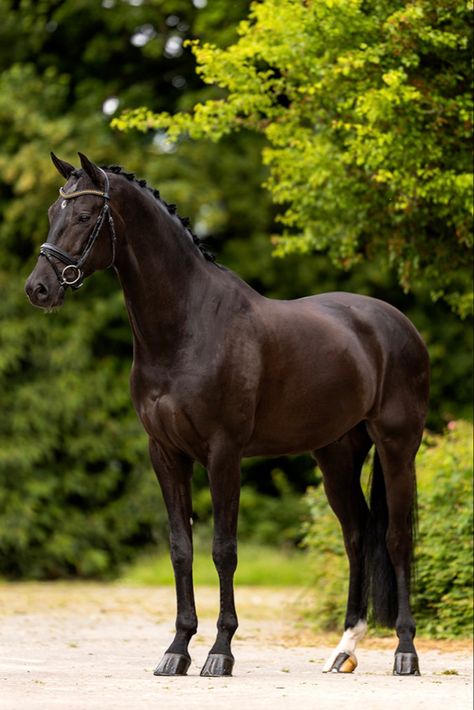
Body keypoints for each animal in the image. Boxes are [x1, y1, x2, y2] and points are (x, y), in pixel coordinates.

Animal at [25, 154, 430, 680]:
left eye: (84, 215)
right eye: (53, 211)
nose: (38, 288)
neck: (188, 328)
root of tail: (396, 324)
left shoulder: (223, 453)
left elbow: (223, 549)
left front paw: (220, 652)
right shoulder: (166, 454)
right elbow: (181, 548)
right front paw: (177, 650)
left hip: (397, 448)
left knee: (397, 539)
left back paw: (406, 651)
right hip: (336, 454)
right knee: (358, 534)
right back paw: (344, 648)